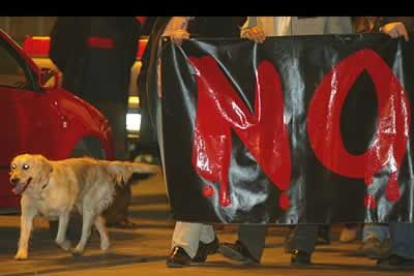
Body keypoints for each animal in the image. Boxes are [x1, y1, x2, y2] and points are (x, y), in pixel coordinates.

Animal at [10, 154, 158, 260]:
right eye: (13, 167)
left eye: (26, 166)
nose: (13, 180)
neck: (42, 189)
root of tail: (100, 163)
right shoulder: (26, 215)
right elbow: (24, 236)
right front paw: (21, 254)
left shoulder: (64, 214)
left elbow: (58, 238)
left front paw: (67, 245)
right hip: (86, 207)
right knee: (100, 222)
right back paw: (105, 245)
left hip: (88, 207)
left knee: (87, 231)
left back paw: (79, 249)